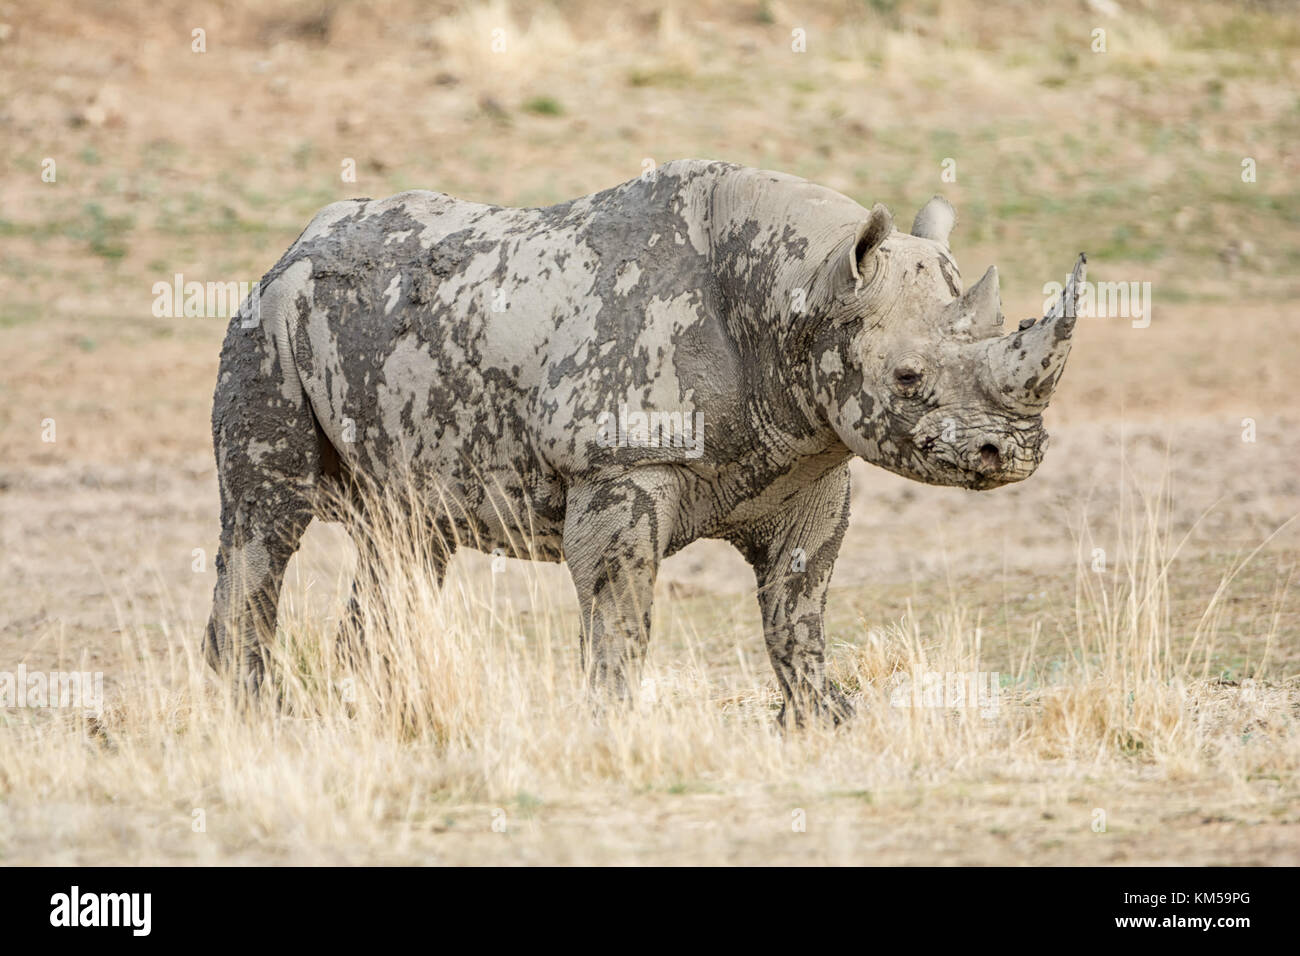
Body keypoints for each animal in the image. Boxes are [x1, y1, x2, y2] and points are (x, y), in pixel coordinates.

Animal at [205, 159, 1084, 724]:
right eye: (906, 377)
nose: (1010, 453)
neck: (805, 294)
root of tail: (295, 244)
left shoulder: (811, 464)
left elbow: (798, 602)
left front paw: (825, 717)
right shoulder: (618, 466)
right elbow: (620, 602)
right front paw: (614, 721)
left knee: (406, 539)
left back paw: (375, 713)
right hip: (265, 320)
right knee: (266, 523)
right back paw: (252, 713)